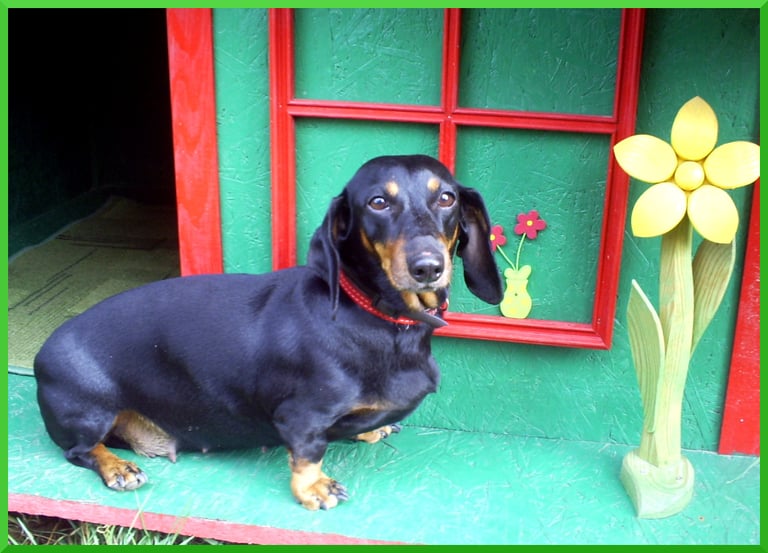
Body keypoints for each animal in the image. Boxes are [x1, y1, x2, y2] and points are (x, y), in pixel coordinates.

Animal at [34, 154, 503, 510]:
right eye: (377, 202)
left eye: (446, 197)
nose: (428, 267)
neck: (378, 317)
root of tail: (42, 353)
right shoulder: (301, 415)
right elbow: (308, 453)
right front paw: (314, 488)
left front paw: (370, 429)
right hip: (90, 412)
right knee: (80, 450)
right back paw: (118, 467)